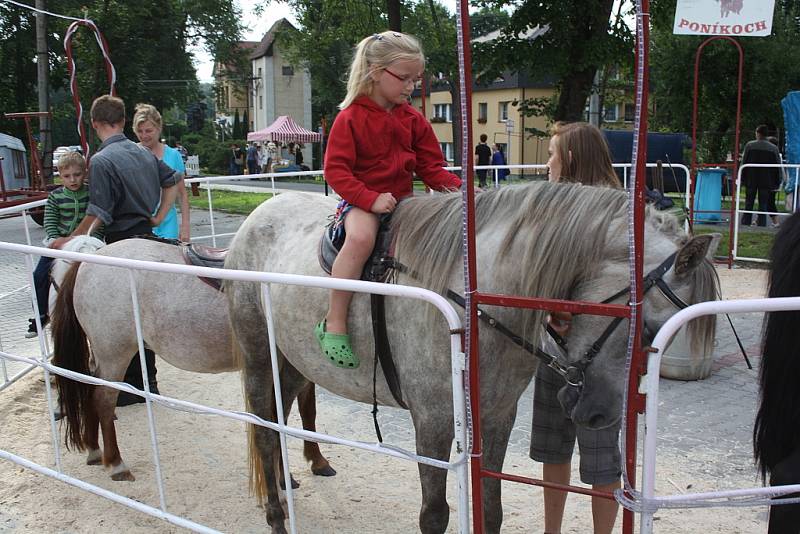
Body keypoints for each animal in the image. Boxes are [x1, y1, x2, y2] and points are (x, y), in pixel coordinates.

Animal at [223, 182, 720, 532]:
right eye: (650, 330)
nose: (599, 415)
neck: (474, 300)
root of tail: (256, 218)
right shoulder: (434, 420)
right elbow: (434, 514)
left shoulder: (498, 415)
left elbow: (491, 506)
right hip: (258, 356)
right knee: (262, 430)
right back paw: (276, 516)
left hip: (290, 362)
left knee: (278, 418)